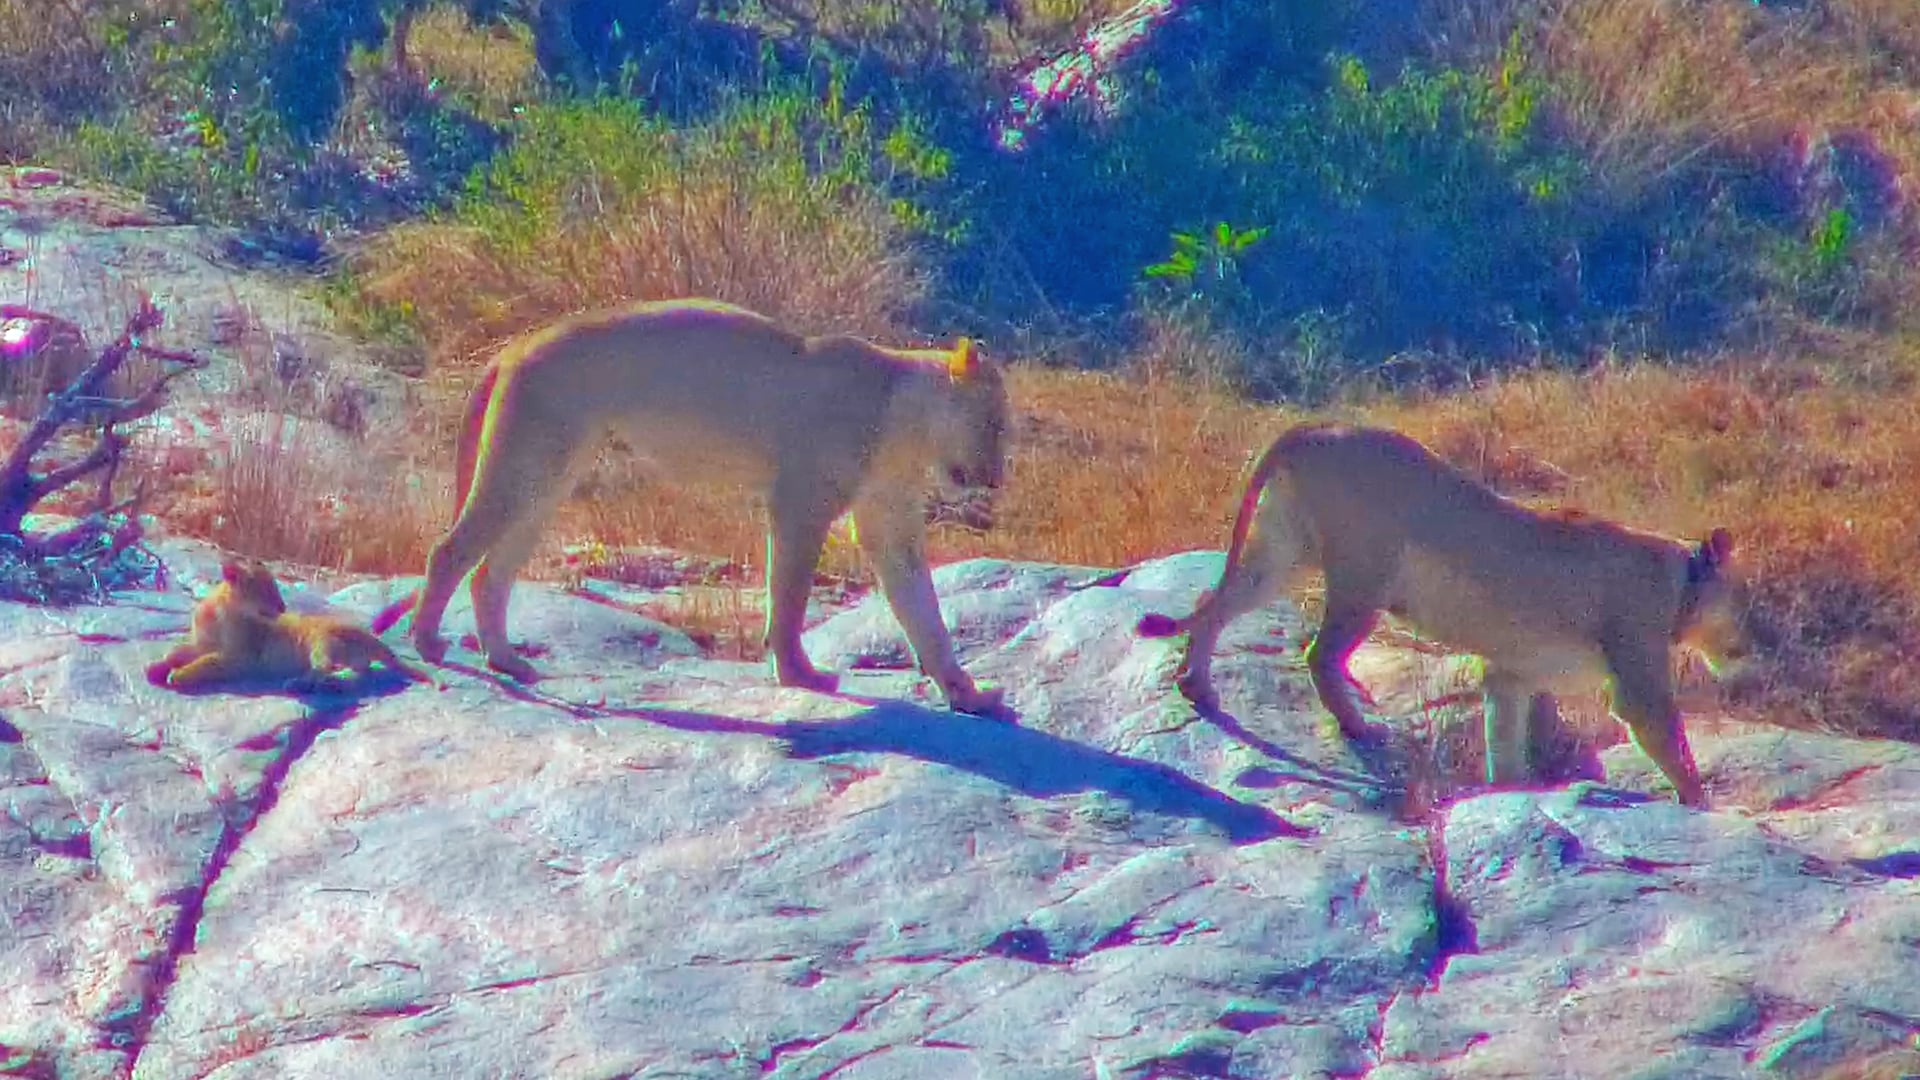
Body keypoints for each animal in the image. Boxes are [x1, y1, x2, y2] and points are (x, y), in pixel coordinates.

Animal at [147, 559, 439, 693]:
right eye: (265, 590)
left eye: (276, 588)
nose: (283, 607)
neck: (221, 613)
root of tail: (368, 636)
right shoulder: (201, 642)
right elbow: (176, 651)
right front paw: (156, 667)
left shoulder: (240, 657)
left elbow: (207, 662)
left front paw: (178, 675)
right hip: (346, 655)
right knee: (358, 672)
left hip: (320, 641)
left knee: (324, 666)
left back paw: (297, 683)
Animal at [368, 298, 1010, 715]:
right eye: (994, 423)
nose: (997, 478)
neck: (903, 425)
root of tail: (515, 344)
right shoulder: (799, 503)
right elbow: (790, 597)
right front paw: (799, 674)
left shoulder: (888, 522)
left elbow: (923, 610)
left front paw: (968, 694)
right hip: (525, 460)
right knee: (449, 550)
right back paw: (430, 643)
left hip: (546, 478)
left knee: (491, 571)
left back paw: (508, 661)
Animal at [1136, 422, 1746, 808]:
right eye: (1746, 599)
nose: (1754, 641)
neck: (1680, 578)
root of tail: (1313, 428)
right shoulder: (1636, 680)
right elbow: (1673, 748)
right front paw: (1702, 806)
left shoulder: (1509, 674)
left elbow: (1505, 741)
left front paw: (1509, 796)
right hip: (1365, 577)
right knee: (1318, 653)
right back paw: (1362, 729)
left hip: (1282, 554)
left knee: (1211, 604)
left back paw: (1195, 686)